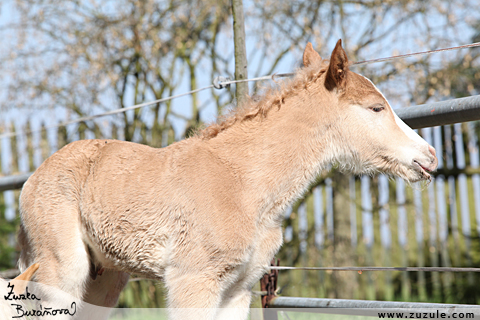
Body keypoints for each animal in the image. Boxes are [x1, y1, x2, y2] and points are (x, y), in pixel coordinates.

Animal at [18, 40, 436, 320]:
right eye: (376, 108)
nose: (429, 156)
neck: (243, 185)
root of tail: (33, 177)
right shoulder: (192, 281)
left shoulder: (239, 288)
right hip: (61, 268)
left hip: (105, 276)